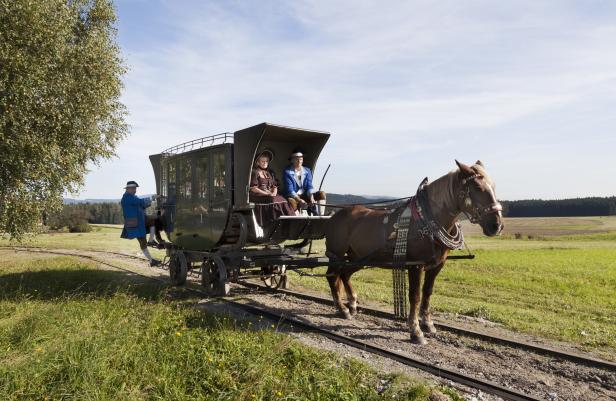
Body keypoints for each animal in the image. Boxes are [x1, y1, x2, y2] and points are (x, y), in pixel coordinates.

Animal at [324, 159, 502, 344]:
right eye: (477, 187)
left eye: (493, 186)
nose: (496, 225)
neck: (427, 221)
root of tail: (335, 215)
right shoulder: (416, 265)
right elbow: (415, 296)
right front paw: (416, 331)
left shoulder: (436, 266)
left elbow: (427, 293)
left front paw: (428, 324)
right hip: (336, 254)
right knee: (332, 276)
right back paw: (342, 309)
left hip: (358, 257)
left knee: (344, 274)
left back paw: (351, 304)